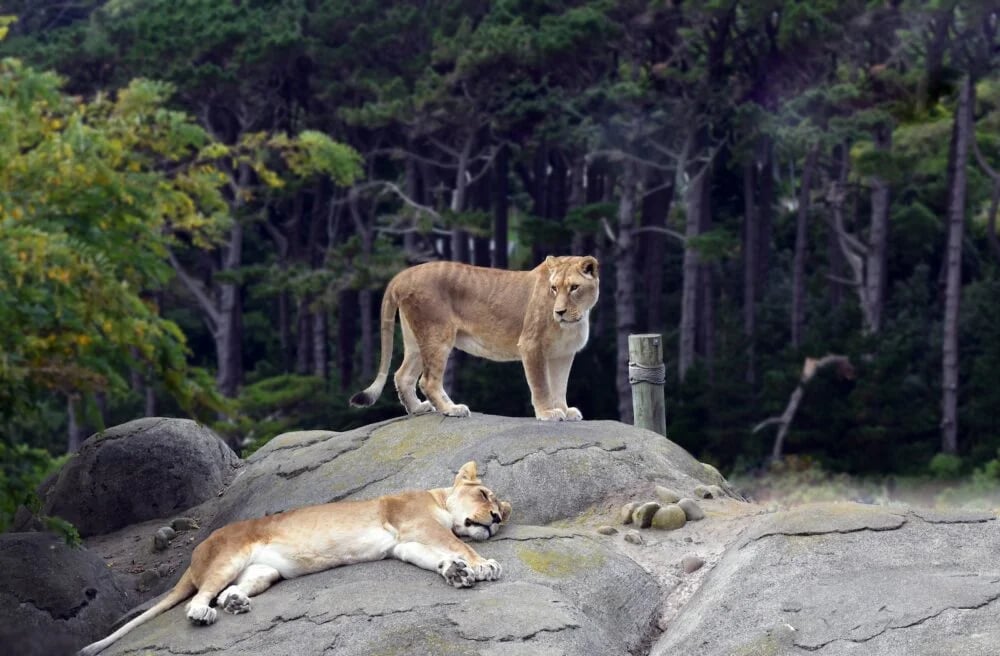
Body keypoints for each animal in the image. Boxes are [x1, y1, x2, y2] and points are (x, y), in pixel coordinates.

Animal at [79, 462, 511, 656]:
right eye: (484, 494)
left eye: (503, 513)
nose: (495, 519)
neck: (436, 498)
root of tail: (196, 552)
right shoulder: (417, 524)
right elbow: (458, 544)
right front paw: (482, 565)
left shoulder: (404, 543)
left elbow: (433, 557)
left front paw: (456, 573)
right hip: (229, 556)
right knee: (201, 596)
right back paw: (203, 613)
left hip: (264, 571)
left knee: (227, 591)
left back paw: (236, 602)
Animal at [350, 255, 600, 421]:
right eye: (554, 288)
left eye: (574, 287)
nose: (559, 312)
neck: (574, 320)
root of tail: (402, 274)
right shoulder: (531, 345)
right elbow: (541, 384)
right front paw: (548, 412)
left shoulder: (563, 354)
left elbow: (559, 385)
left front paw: (565, 410)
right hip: (438, 334)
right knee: (427, 380)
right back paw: (451, 409)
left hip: (415, 340)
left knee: (403, 375)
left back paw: (418, 409)